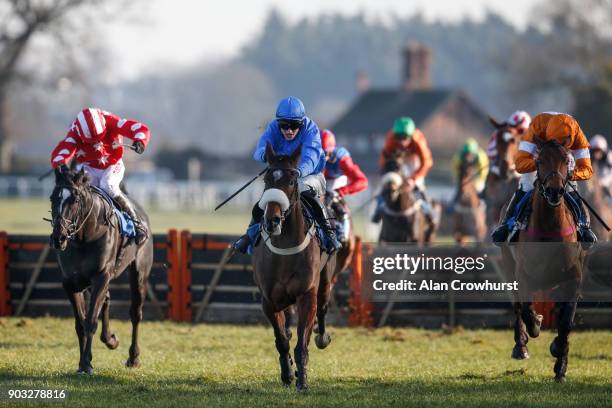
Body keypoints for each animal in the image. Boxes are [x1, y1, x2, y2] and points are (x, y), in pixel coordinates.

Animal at [49, 167, 153, 374]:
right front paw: (83, 362)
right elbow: (80, 323)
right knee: (106, 299)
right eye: (53, 198)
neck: (85, 238)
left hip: (139, 274)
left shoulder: (101, 276)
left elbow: (90, 320)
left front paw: (86, 364)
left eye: (75, 199)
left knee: (135, 314)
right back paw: (110, 339)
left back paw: (133, 357)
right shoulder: (71, 283)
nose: (59, 237)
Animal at [253, 142, 340, 390]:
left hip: (325, 280)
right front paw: (287, 373)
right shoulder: (268, 300)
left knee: (321, 309)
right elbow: (282, 339)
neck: (284, 248)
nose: (272, 220)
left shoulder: (306, 294)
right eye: (267, 180)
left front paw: (302, 379)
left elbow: (303, 341)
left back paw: (322, 337)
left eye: (292, 180)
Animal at [502, 138, 588, 382]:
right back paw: (520, 347)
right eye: (539, 160)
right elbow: (526, 310)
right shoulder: (523, 275)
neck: (550, 227)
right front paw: (537, 323)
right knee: (517, 305)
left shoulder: (573, 279)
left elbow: (566, 321)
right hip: (507, 266)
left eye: (567, 160)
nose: (554, 190)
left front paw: (560, 360)